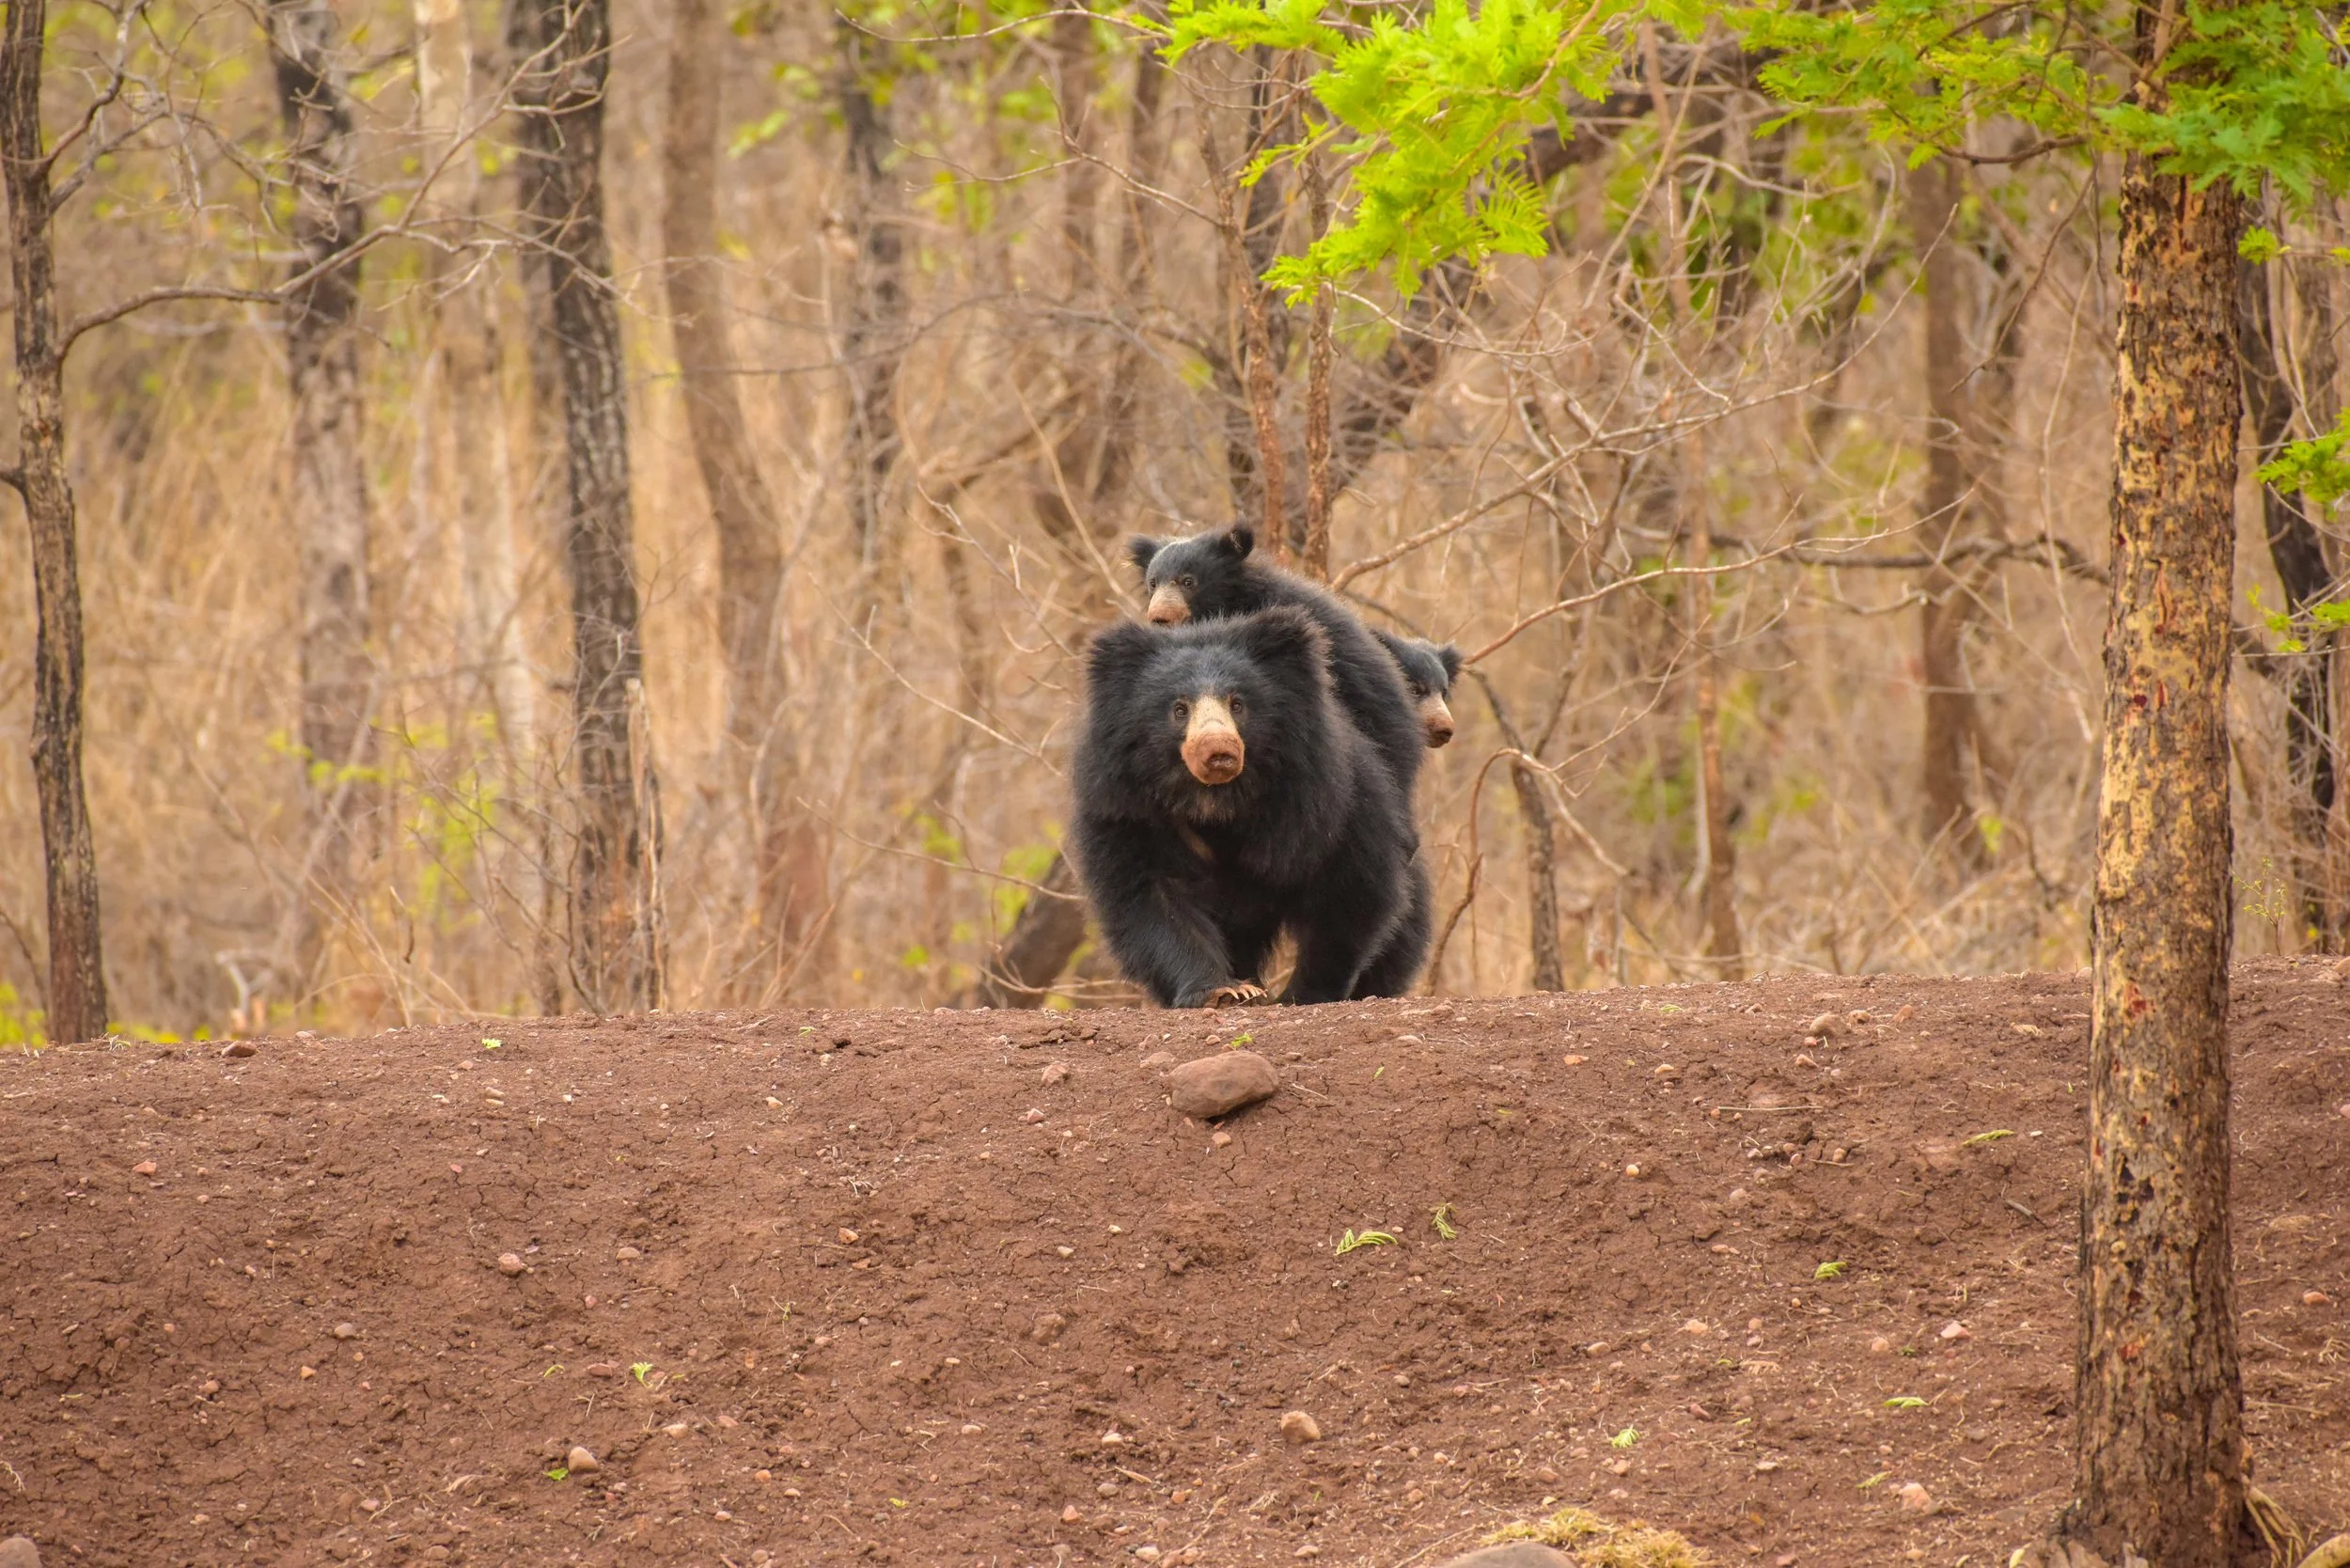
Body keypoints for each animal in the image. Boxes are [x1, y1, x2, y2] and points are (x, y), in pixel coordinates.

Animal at [1071, 606, 1416, 1008]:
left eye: (1237, 705)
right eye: (1179, 709)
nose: (1217, 749)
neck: (1217, 800)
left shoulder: (1327, 801)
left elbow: (1350, 888)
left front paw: (1302, 994)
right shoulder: (1125, 809)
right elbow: (1151, 897)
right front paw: (1223, 991)